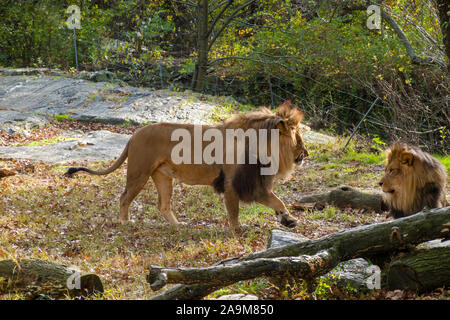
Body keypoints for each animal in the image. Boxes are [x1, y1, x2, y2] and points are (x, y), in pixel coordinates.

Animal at [65, 100, 308, 230]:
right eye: (298, 138)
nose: (306, 154)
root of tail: (133, 136)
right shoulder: (234, 182)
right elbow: (234, 211)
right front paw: (238, 230)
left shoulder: (254, 184)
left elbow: (277, 201)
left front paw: (288, 219)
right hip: (139, 173)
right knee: (124, 197)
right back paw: (126, 223)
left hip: (163, 177)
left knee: (163, 205)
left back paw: (178, 226)